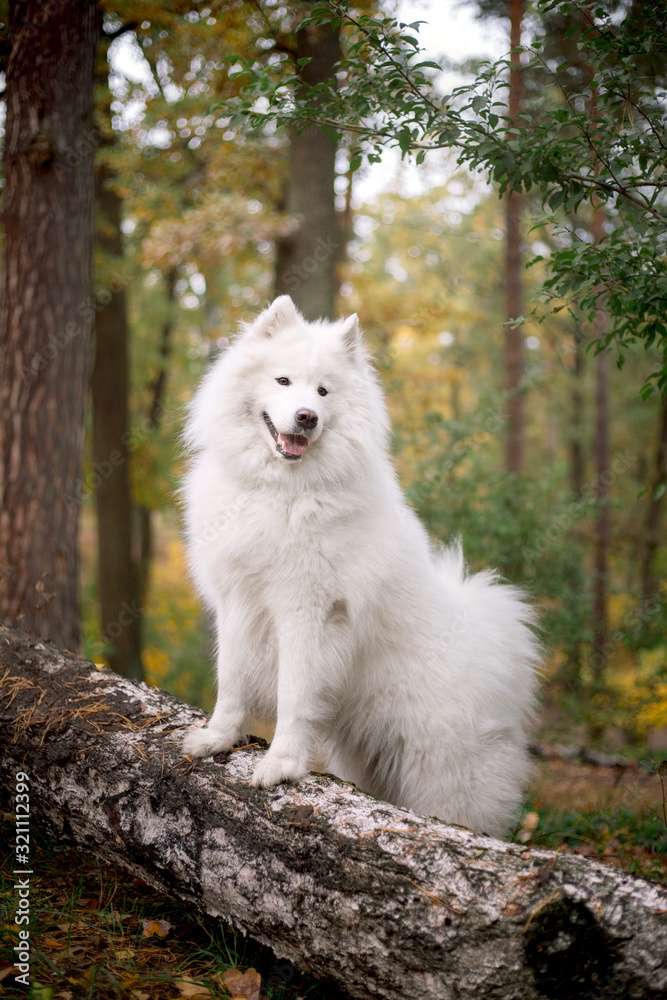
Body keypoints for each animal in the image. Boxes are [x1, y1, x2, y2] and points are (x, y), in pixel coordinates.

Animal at [183, 294, 544, 836]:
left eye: (323, 391)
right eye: (283, 381)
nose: (307, 417)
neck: (281, 490)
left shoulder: (307, 610)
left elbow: (294, 695)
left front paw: (281, 764)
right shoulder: (237, 602)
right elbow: (231, 679)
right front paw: (218, 738)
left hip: (442, 776)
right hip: (366, 758)